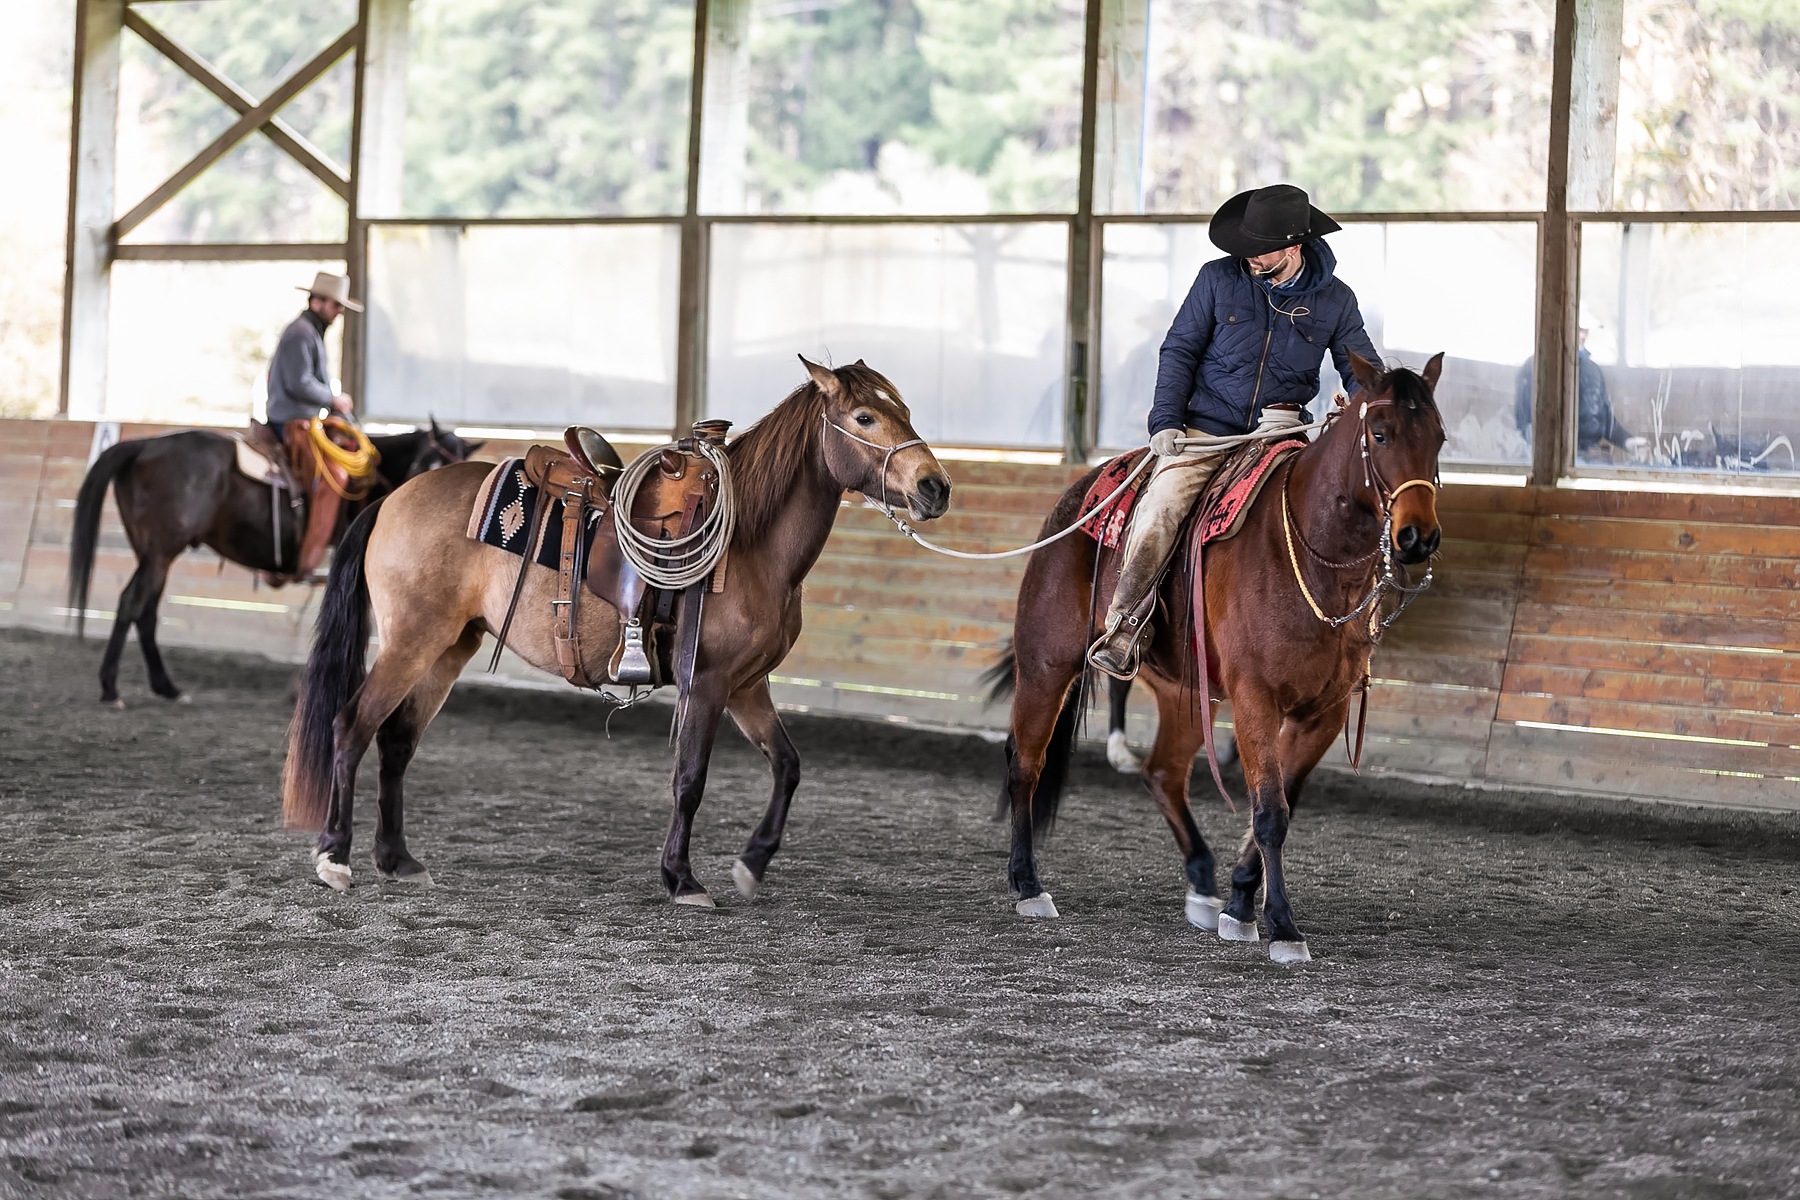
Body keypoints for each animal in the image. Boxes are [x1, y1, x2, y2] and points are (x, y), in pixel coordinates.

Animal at [68, 420, 478, 705]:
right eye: (425, 461)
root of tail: (143, 445)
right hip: (159, 553)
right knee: (132, 603)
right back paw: (110, 687)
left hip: (153, 556)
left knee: (147, 611)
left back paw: (166, 687)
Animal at [277, 361, 957, 906]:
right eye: (865, 416)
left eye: (904, 410)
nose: (935, 487)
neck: (751, 542)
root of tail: (392, 499)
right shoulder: (709, 684)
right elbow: (690, 780)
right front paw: (682, 880)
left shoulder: (747, 687)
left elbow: (787, 767)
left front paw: (750, 865)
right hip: (410, 641)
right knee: (351, 725)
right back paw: (334, 858)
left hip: (449, 646)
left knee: (396, 740)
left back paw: (397, 859)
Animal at [1000, 352, 1447, 964]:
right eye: (1380, 433)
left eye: (1439, 438)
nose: (1417, 538)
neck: (1316, 560)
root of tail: (1082, 496)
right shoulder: (1257, 699)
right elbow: (1270, 812)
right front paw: (1281, 925)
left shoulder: (1324, 713)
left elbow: (1282, 803)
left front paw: (1238, 902)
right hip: (1046, 663)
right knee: (1026, 761)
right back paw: (1028, 886)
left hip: (1186, 695)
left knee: (1163, 774)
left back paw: (1203, 883)